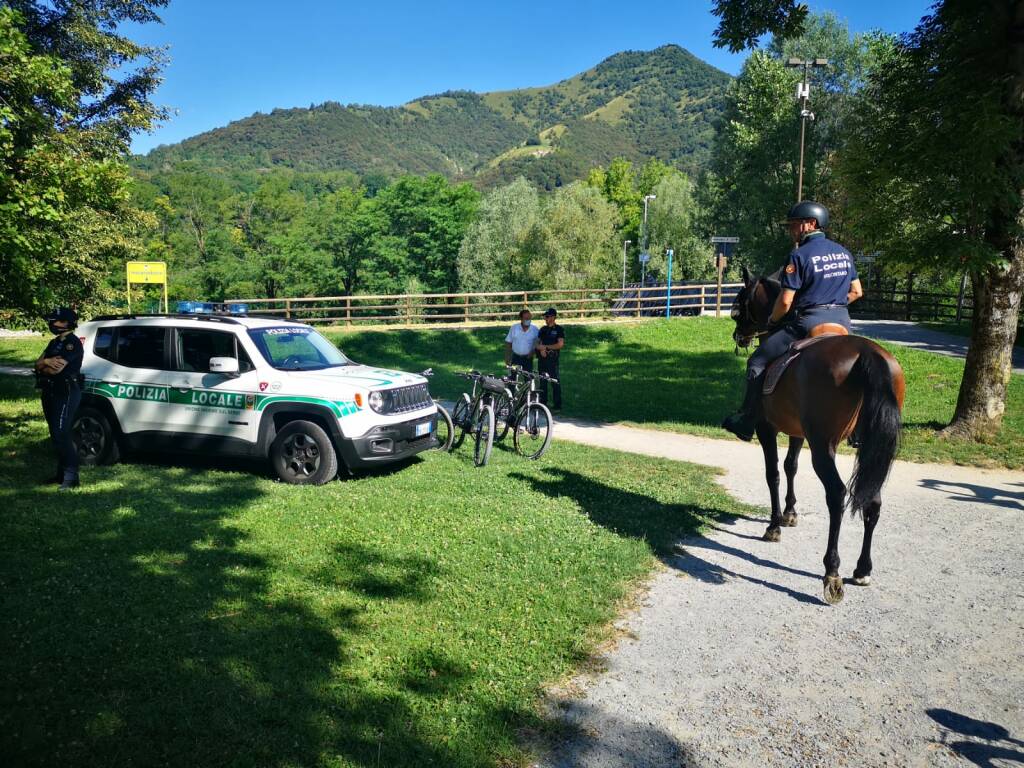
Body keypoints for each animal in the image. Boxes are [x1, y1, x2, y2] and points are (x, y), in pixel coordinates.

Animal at [729, 268, 905, 606]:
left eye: (741, 300)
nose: (738, 336)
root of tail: (867, 352)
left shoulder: (767, 429)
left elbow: (773, 473)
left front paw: (774, 525)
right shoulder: (799, 432)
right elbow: (791, 467)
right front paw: (790, 513)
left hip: (824, 446)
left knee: (836, 495)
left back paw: (832, 573)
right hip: (872, 448)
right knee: (873, 498)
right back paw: (862, 569)